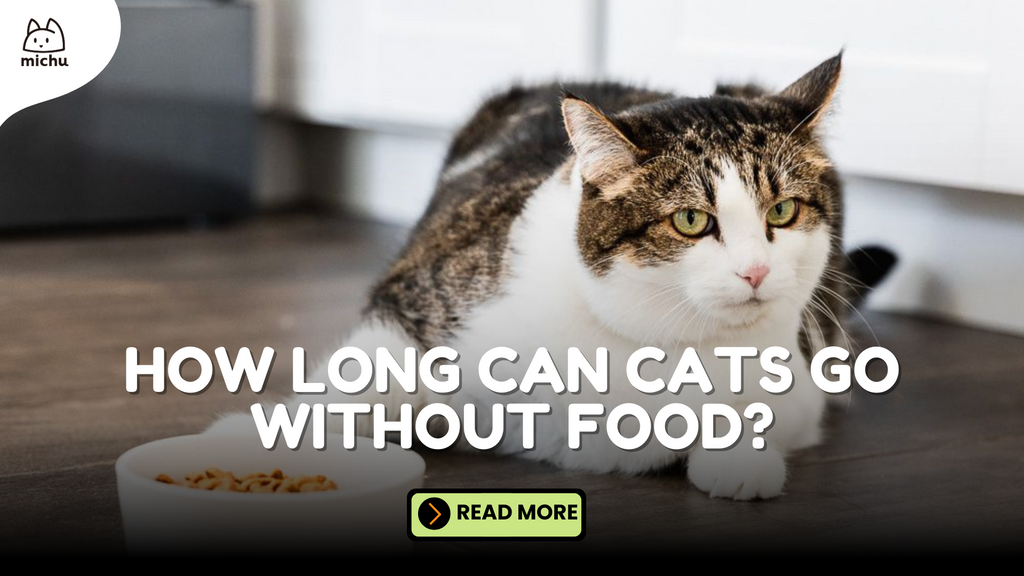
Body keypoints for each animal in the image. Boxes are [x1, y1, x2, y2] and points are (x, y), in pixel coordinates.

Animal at [207, 52, 888, 498]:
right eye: (692, 220)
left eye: (783, 212)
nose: (755, 271)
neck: (647, 346)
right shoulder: (418, 298)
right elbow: (362, 379)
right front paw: (253, 442)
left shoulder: (798, 379)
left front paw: (738, 454)